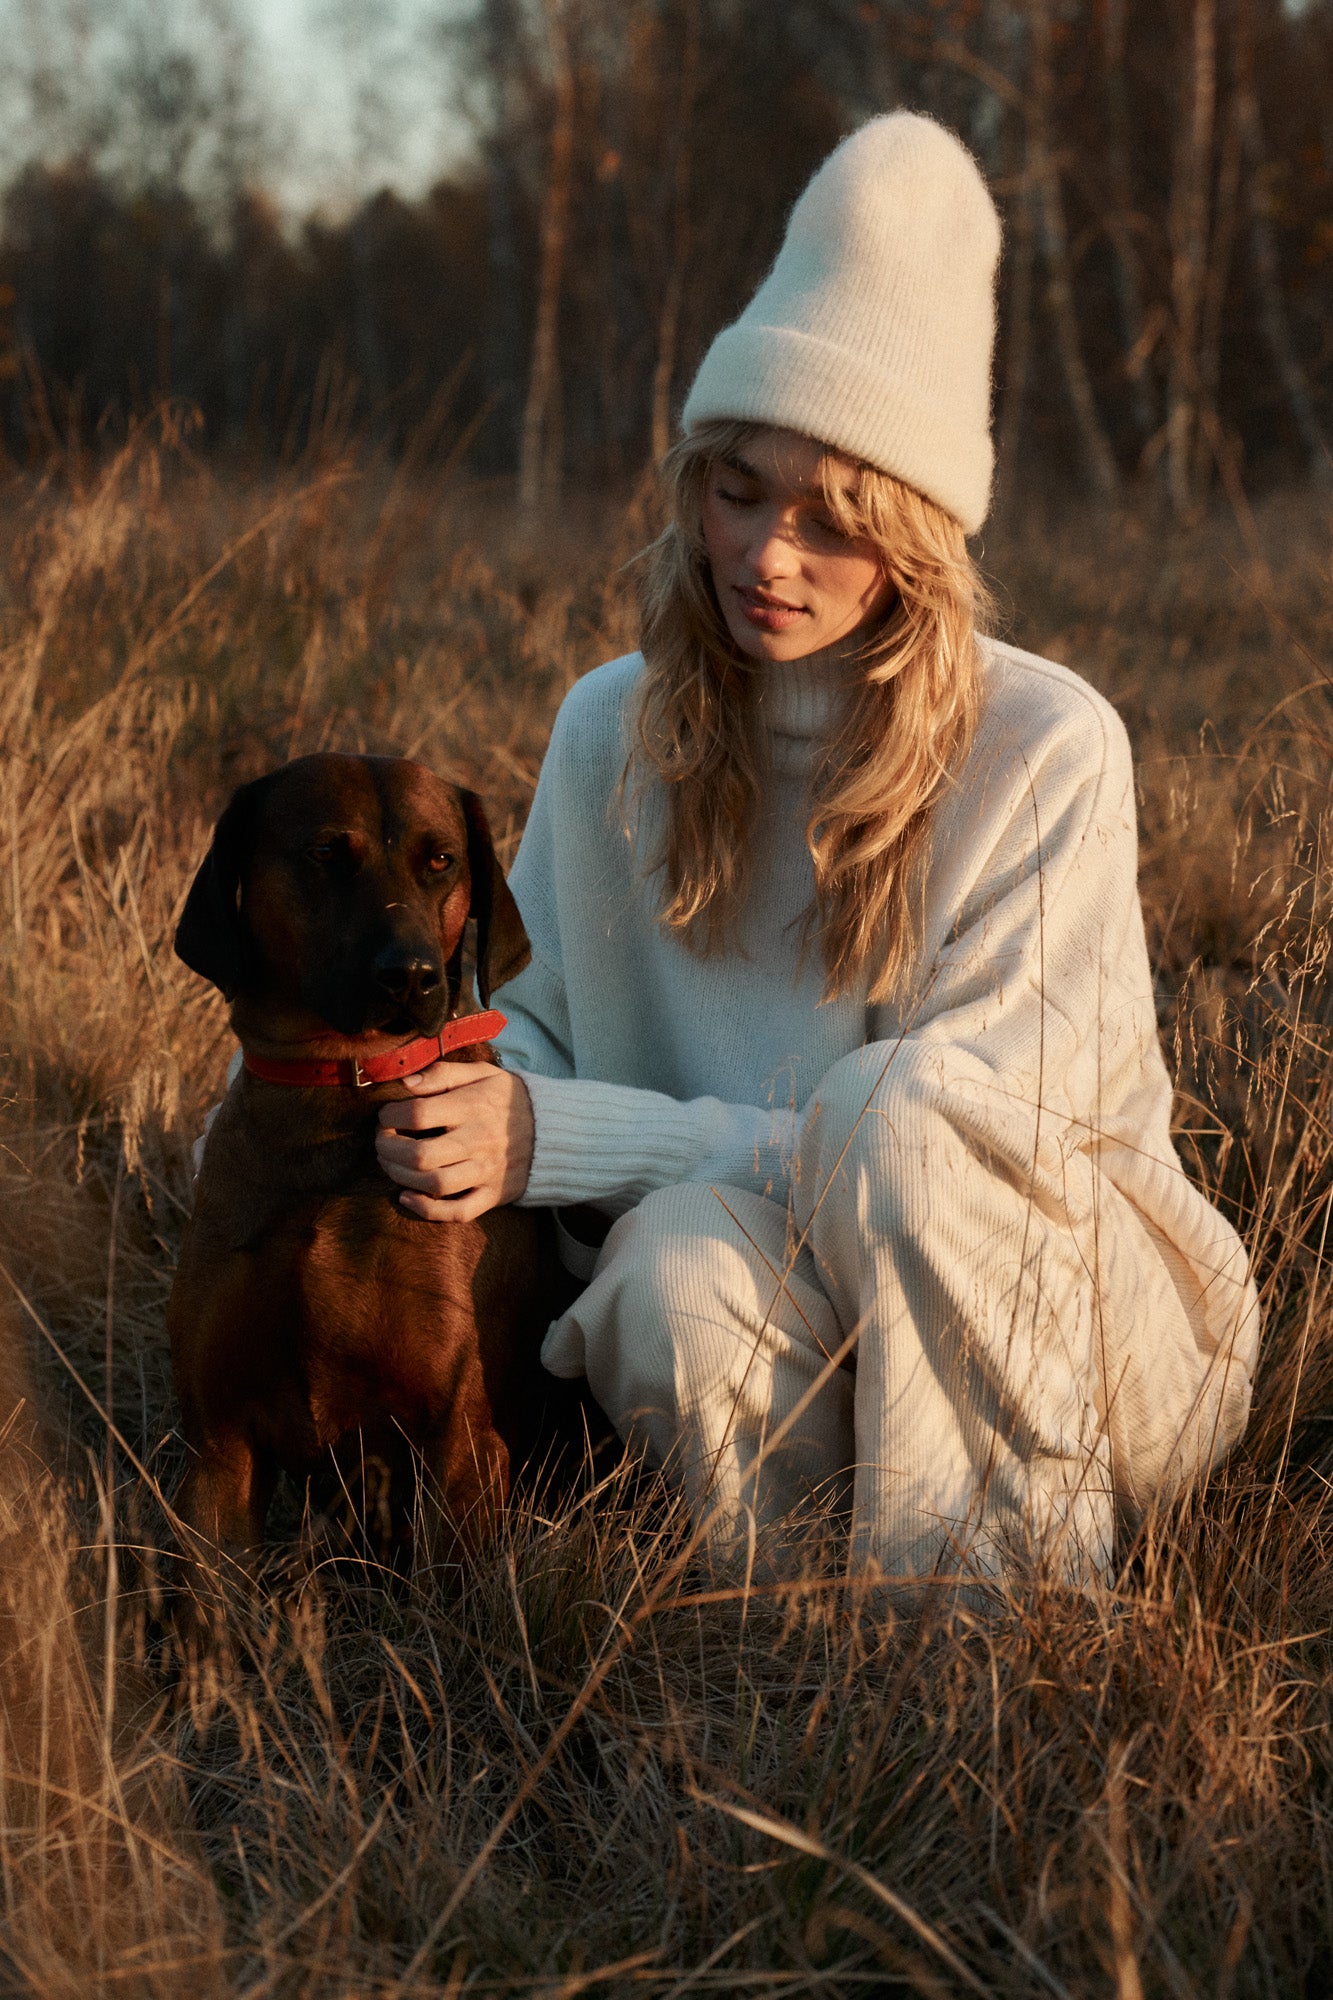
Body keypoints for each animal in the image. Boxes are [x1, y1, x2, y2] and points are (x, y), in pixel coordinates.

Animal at [165, 752, 588, 1560]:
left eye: (442, 861)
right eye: (327, 853)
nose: (412, 975)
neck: (336, 1091)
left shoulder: (461, 1444)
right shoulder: (217, 1451)